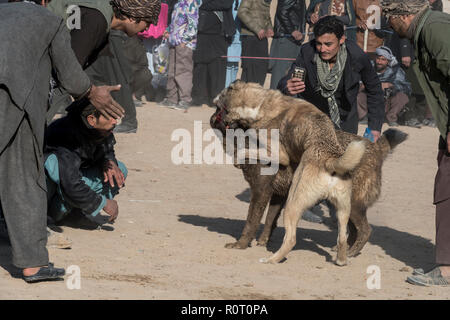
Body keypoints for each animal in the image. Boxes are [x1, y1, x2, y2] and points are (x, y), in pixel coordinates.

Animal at [211, 81, 408, 266]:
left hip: (316, 204)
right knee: (346, 234)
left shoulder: (263, 189)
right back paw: (341, 255)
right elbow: (269, 221)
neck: (263, 103)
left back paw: (273, 259)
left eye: (220, 106)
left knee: (359, 231)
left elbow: (251, 222)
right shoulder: (277, 195)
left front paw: (240, 244)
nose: (213, 111)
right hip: (343, 208)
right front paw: (262, 241)